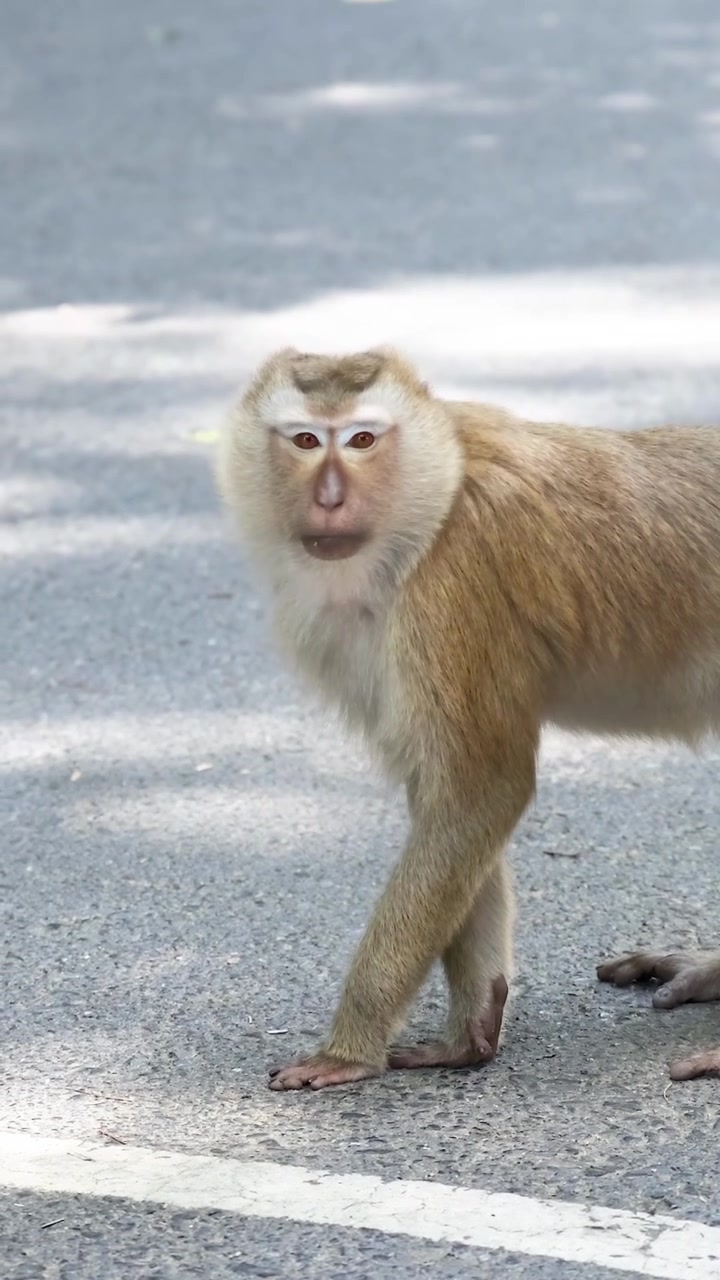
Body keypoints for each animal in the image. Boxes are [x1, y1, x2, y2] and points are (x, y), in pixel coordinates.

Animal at [216, 345, 720, 1090]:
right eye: (306, 440)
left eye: (362, 439)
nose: (330, 499)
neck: (432, 498)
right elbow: (446, 798)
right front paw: (473, 1030)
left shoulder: (451, 584)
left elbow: (482, 788)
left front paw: (350, 1048)